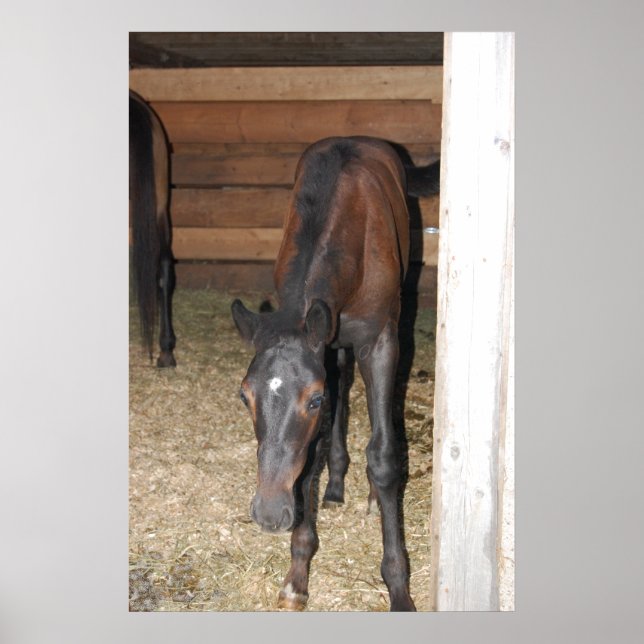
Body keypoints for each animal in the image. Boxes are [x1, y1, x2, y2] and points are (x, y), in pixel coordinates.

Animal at [231, 136, 438, 611]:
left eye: (313, 399)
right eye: (244, 396)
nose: (269, 513)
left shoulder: (379, 343)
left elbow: (383, 458)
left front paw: (399, 588)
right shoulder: (324, 344)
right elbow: (309, 458)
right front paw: (297, 577)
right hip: (338, 345)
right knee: (342, 391)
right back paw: (336, 486)